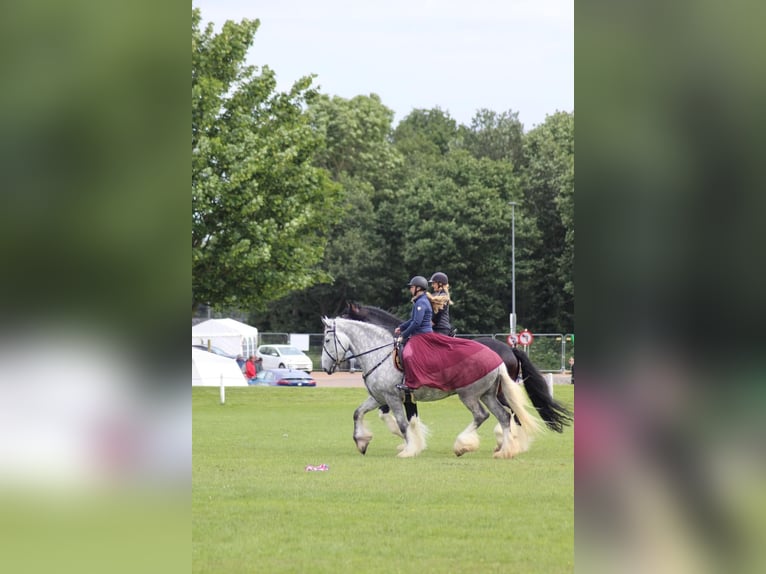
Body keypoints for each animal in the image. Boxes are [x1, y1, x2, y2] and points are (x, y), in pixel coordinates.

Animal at [320, 318, 544, 462]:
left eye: (327, 340)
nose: (325, 367)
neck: (380, 354)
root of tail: (497, 357)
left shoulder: (393, 398)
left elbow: (403, 424)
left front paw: (409, 449)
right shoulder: (379, 397)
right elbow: (358, 413)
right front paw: (362, 441)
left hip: (470, 395)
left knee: (484, 415)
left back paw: (464, 445)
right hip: (487, 395)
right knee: (505, 416)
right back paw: (505, 450)